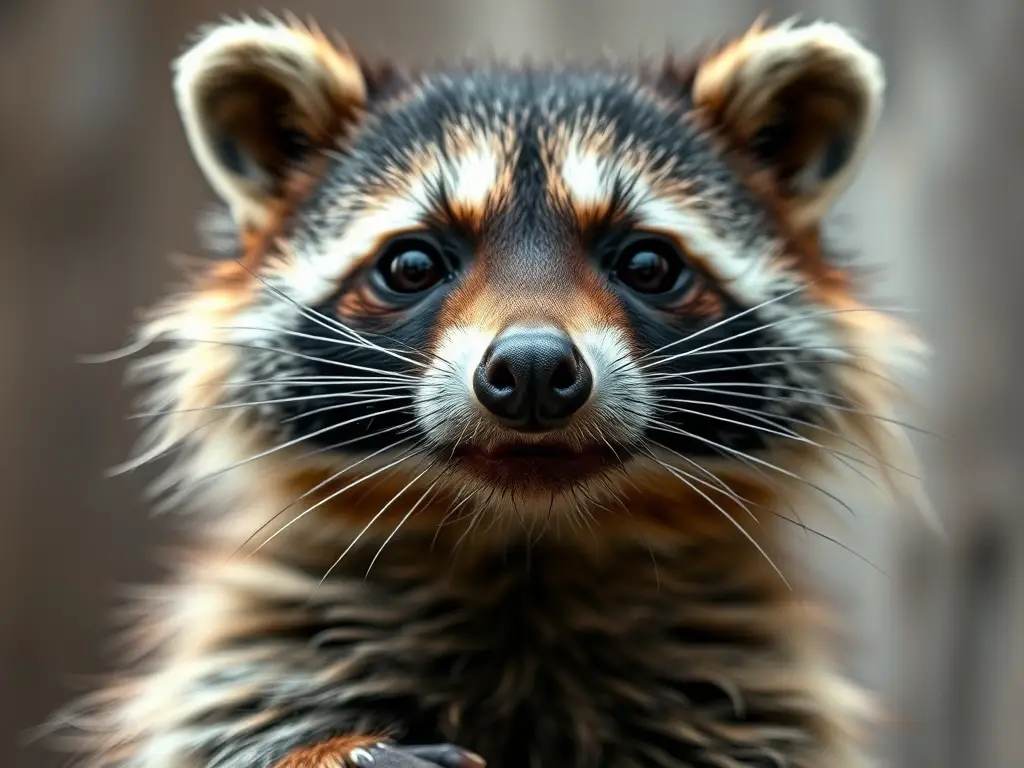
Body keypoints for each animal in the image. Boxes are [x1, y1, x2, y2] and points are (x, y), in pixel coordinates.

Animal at [55, 13, 929, 768]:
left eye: (648, 263)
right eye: (412, 264)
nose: (535, 370)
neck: (529, 546)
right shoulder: (263, 652)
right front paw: (331, 749)